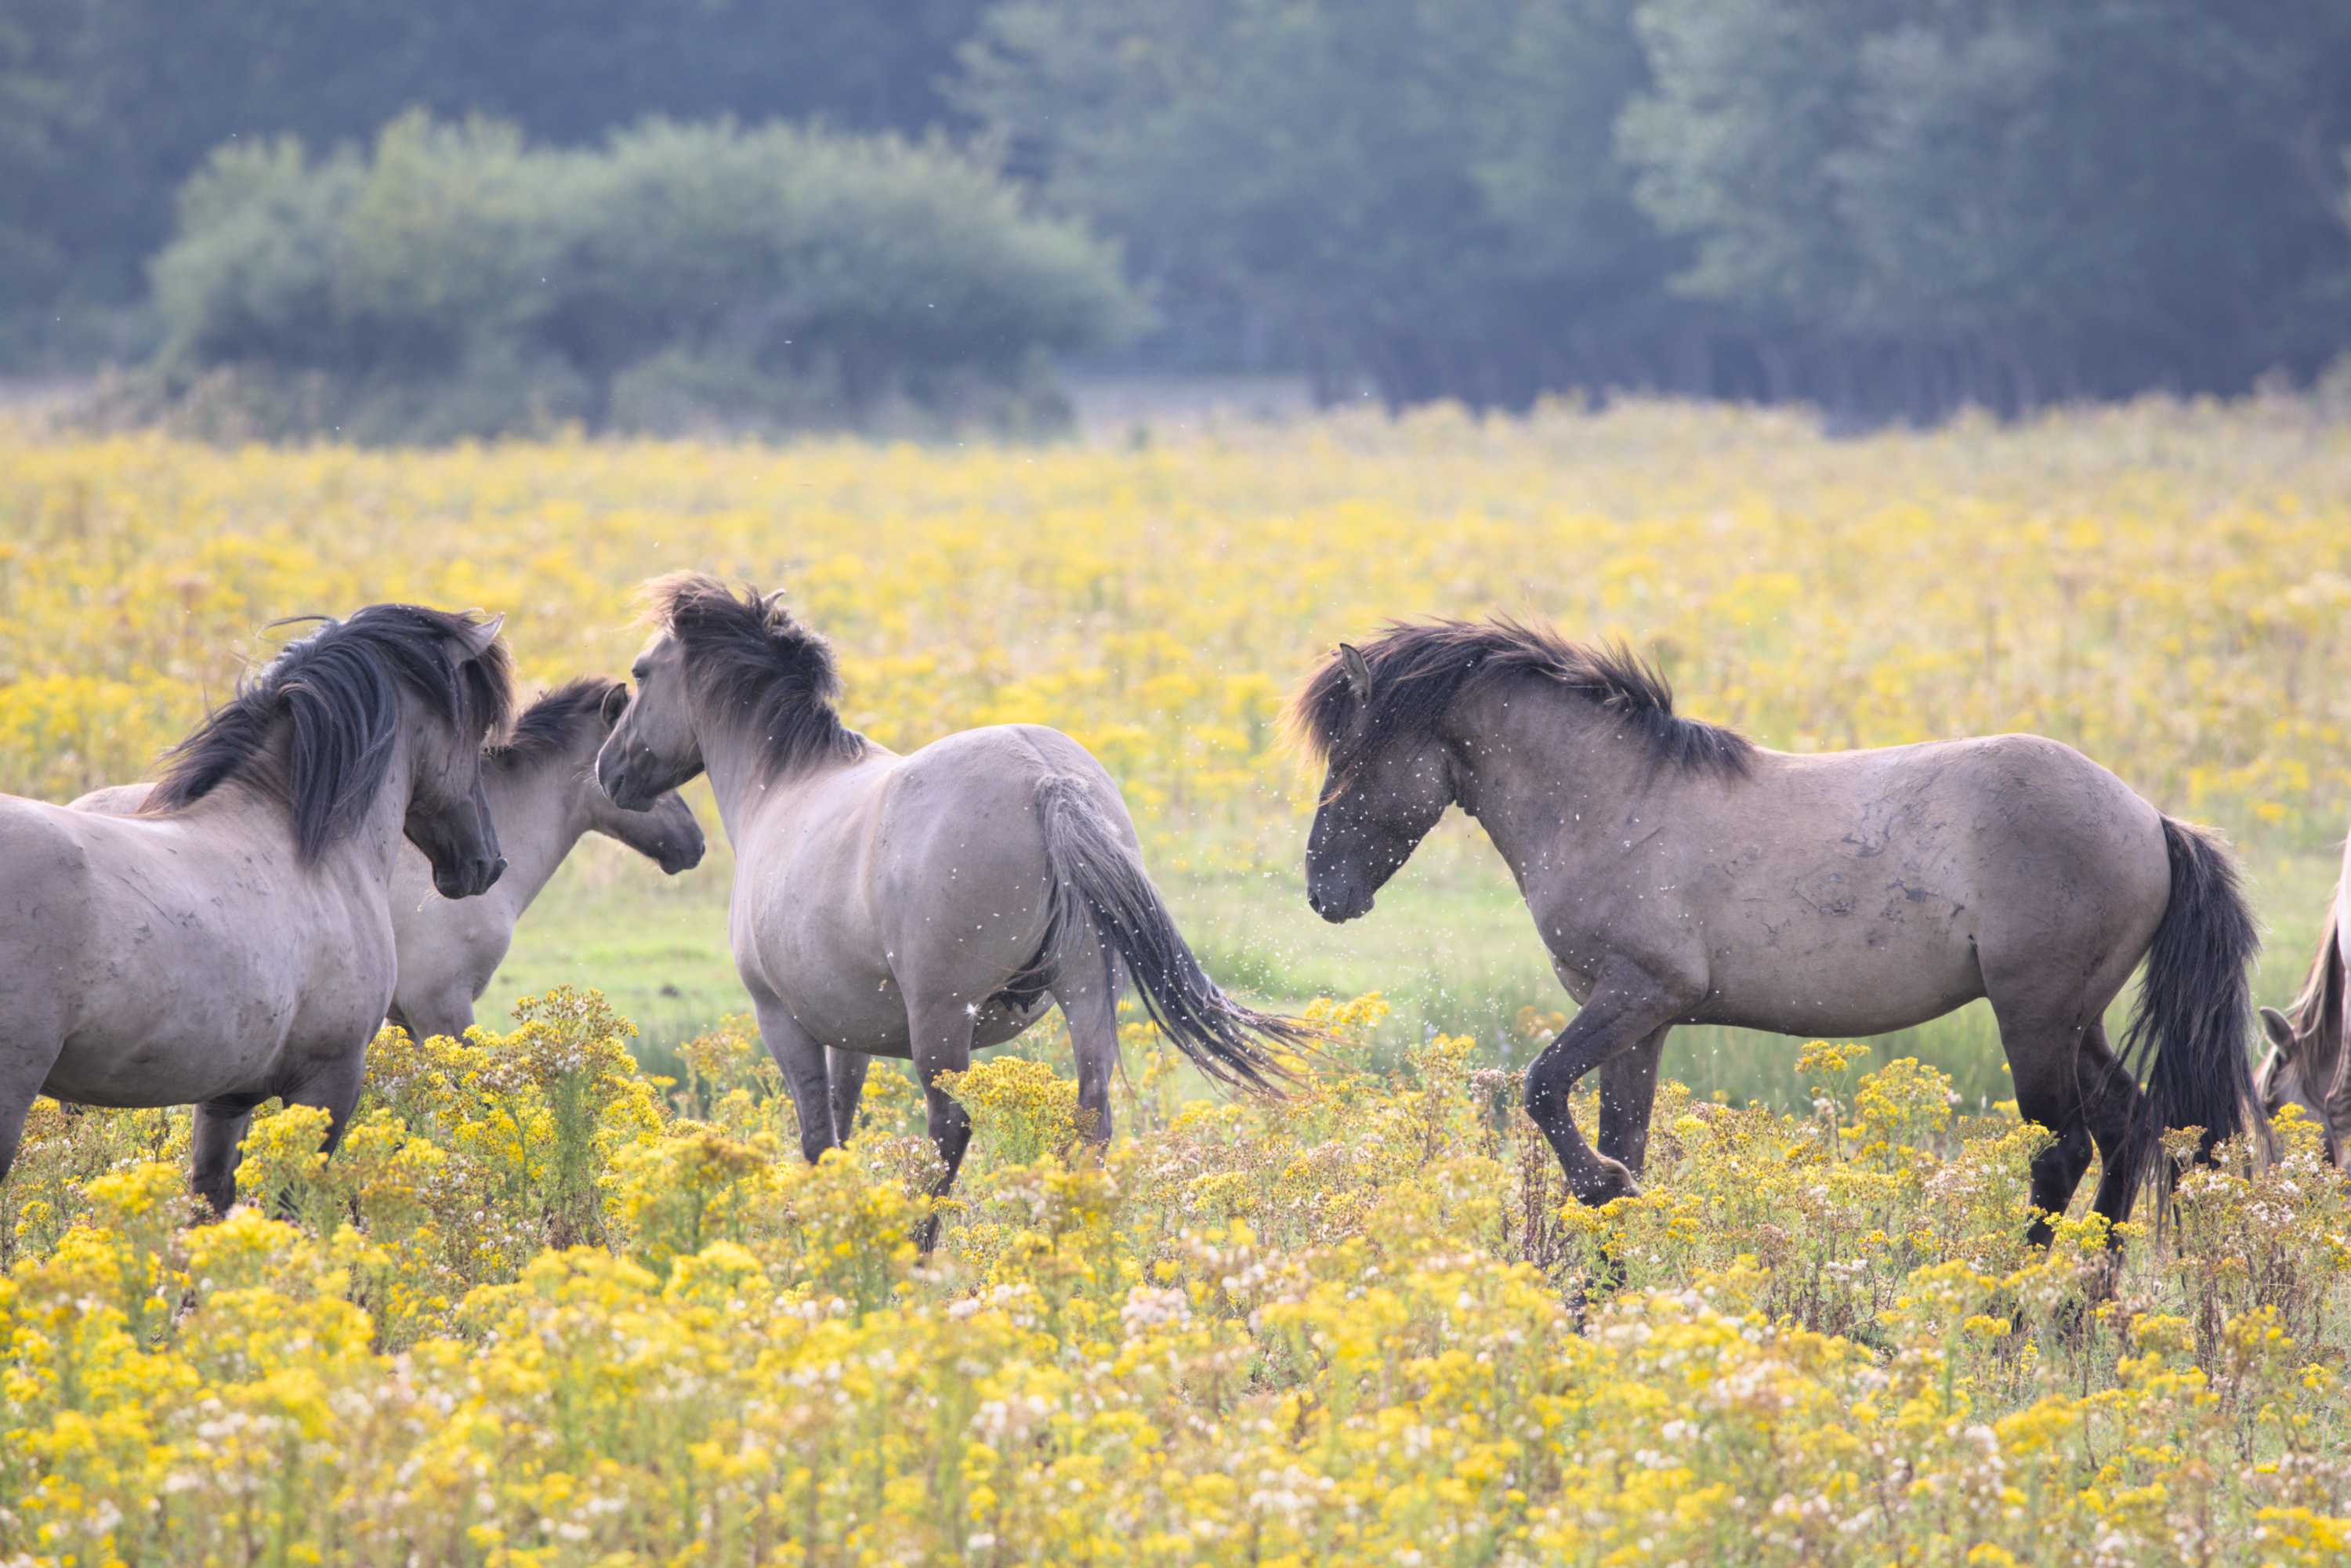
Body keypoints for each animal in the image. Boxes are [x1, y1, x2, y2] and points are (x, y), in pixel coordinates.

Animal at [0, 605, 513, 1211]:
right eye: (474, 733)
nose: (488, 863)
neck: (303, 843)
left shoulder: (228, 1098)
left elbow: (211, 1199)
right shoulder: (329, 1084)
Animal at [594, 573, 1304, 1245]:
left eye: (641, 671)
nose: (607, 770)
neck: (785, 783)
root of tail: (1048, 780)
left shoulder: (784, 1022)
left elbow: (819, 1140)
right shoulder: (849, 1036)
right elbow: (844, 1127)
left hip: (942, 1017)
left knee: (949, 1126)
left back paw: (918, 1243)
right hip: (1086, 993)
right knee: (1092, 1118)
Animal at [1294, 617, 2260, 1237]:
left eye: (1355, 754)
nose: (1321, 891)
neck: (1614, 801)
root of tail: (2151, 820)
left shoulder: (1639, 994)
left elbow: (1541, 1092)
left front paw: (1601, 1198)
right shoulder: (1639, 1023)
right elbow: (1615, 1144)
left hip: (2034, 1018)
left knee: (2062, 1153)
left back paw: (2019, 1319)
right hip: (2075, 1020)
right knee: (2131, 1131)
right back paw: (2082, 1311)